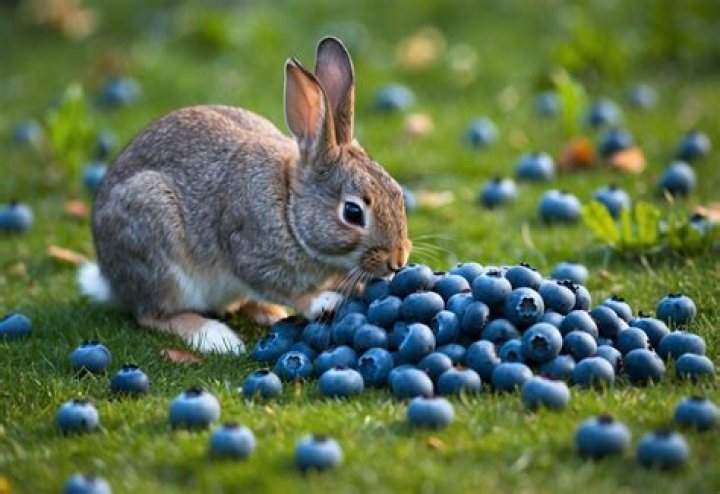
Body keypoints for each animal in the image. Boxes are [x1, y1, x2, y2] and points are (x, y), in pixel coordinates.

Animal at [78, 37, 411, 355]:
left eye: (397, 192)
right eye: (353, 213)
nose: (398, 261)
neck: (289, 207)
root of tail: (111, 280)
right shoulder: (249, 252)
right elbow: (287, 289)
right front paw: (322, 301)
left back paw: (267, 314)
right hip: (156, 245)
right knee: (152, 314)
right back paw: (216, 337)